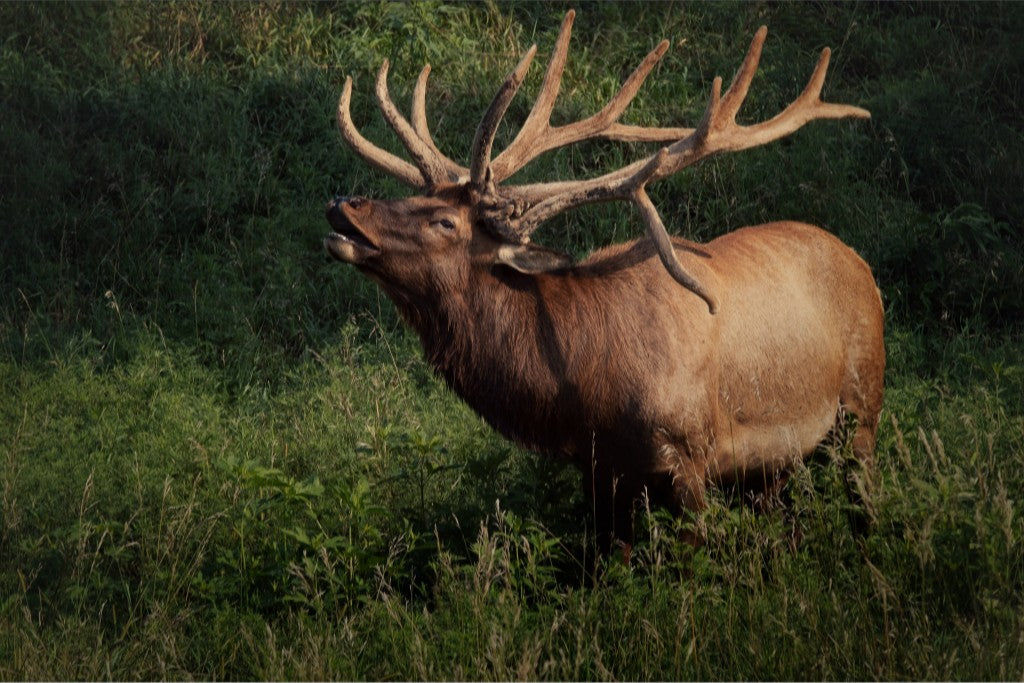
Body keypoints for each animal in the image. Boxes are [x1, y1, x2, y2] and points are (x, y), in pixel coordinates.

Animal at [323, 12, 884, 557]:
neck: (584, 384)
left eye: (444, 221)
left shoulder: (691, 455)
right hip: (774, 465)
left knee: (863, 501)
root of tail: (861, 263)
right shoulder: (599, 470)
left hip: (862, 408)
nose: (343, 204)